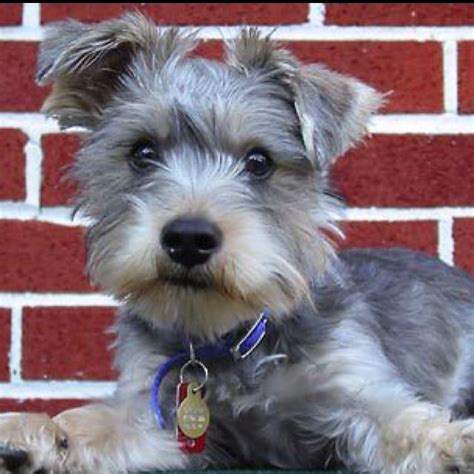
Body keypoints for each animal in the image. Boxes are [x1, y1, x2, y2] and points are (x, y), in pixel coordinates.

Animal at [0, 12, 474, 474]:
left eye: (259, 161)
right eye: (142, 152)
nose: (189, 238)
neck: (230, 336)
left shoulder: (352, 381)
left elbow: (405, 425)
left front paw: (457, 442)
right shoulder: (161, 416)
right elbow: (100, 423)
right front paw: (40, 431)